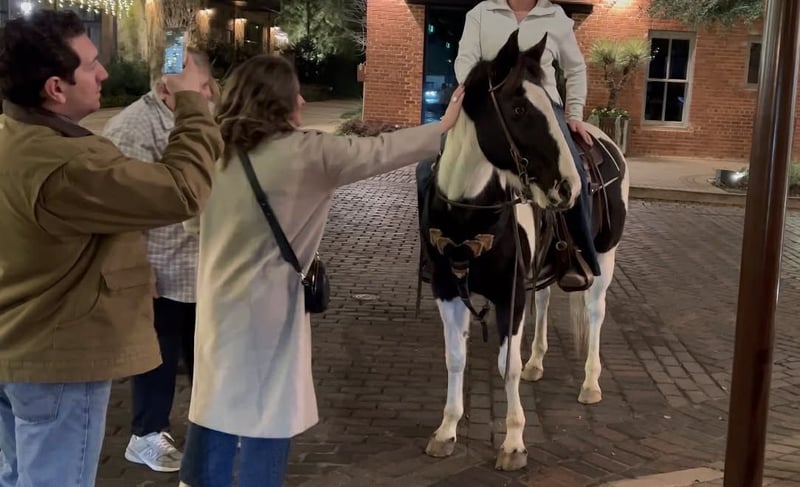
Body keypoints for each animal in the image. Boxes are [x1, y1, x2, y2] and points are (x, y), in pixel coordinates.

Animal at [418, 30, 629, 471]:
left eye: (552, 105)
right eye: (517, 108)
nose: (569, 186)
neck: (470, 212)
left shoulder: (509, 295)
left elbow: (506, 366)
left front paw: (514, 442)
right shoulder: (447, 291)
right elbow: (455, 358)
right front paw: (446, 431)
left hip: (605, 258)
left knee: (595, 313)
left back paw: (590, 383)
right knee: (546, 301)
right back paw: (537, 361)